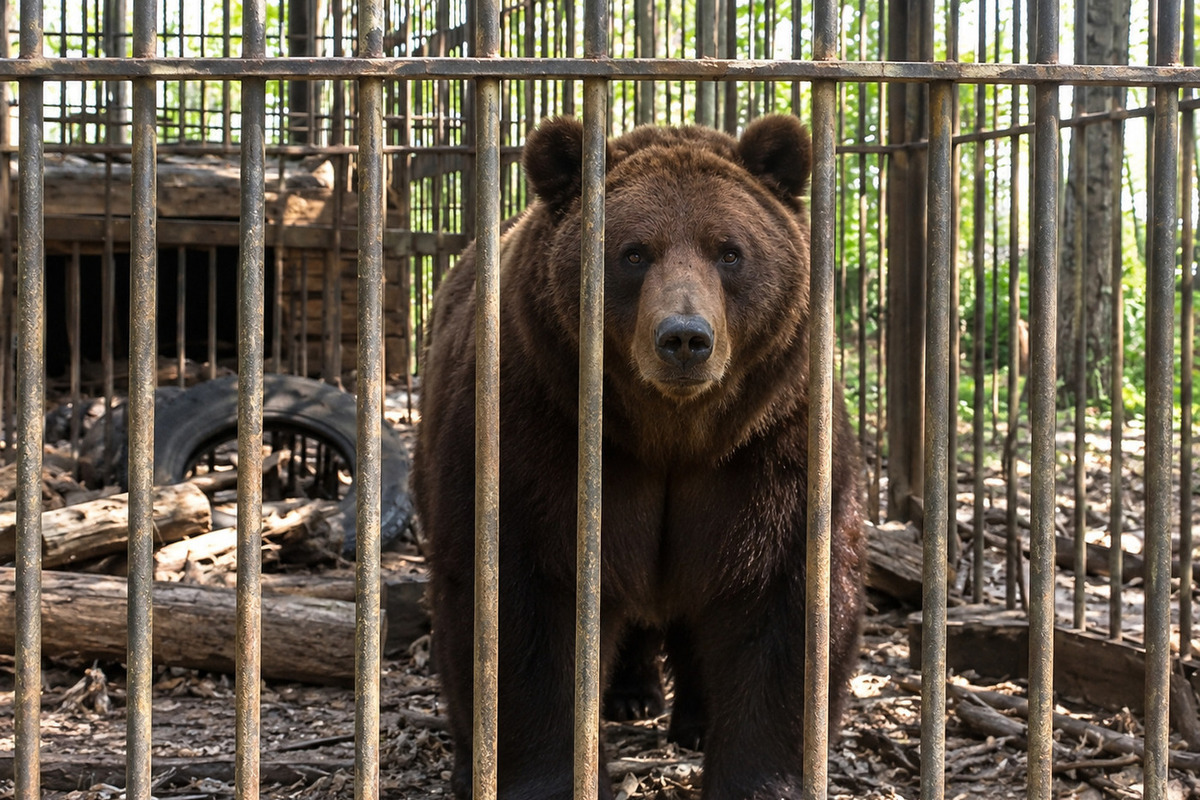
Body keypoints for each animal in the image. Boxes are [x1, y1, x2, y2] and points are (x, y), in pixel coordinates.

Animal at [412, 114, 867, 800]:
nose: (684, 338)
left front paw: (757, 778)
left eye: (729, 251)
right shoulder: (539, 431)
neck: (670, 433)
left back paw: (693, 720)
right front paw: (552, 776)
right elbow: (524, 602)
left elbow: (781, 602)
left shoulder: (770, 445)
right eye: (633, 253)